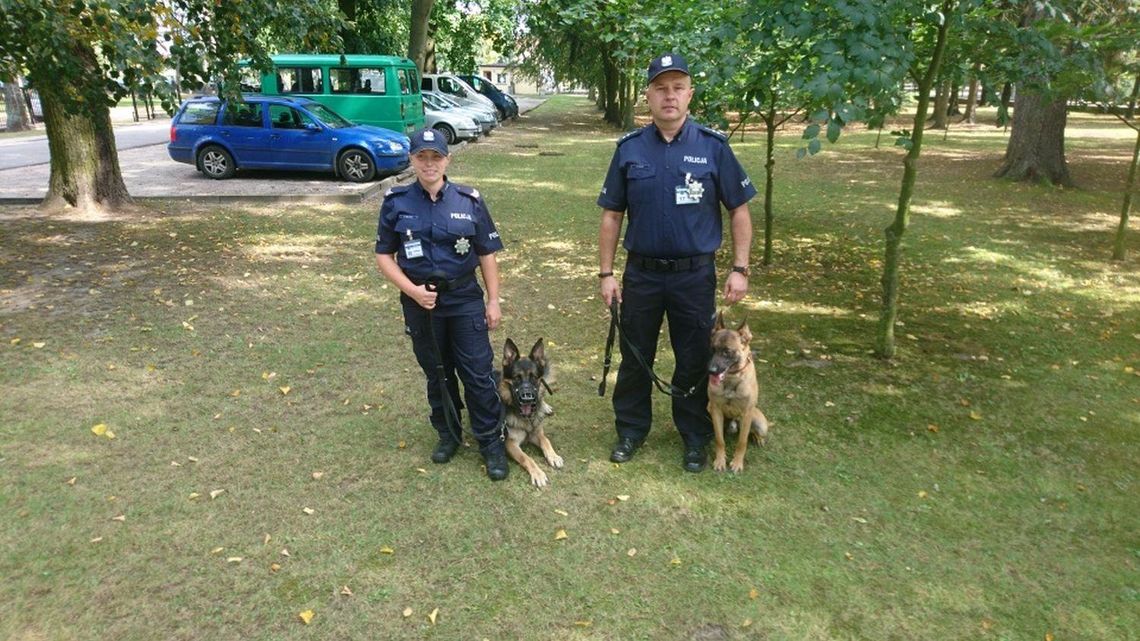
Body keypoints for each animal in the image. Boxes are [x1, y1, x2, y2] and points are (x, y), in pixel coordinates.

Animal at [497, 339, 563, 483]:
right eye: (517, 377)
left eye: (534, 377)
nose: (528, 398)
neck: (526, 418)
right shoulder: (510, 444)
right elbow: (527, 458)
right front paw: (537, 473)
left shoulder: (537, 433)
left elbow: (546, 441)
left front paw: (553, 456)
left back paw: (545, 407)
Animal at [706, 312, 770, 472]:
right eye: (713, 349)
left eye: (727, 351)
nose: (710, 371)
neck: (732, 379)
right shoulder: (716, 410)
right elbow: (719, 440)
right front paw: (720, 460)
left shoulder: (747, 414)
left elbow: (742, 442)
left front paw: (737, 463)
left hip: (760, 424)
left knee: (753, 432)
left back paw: (758, 439)